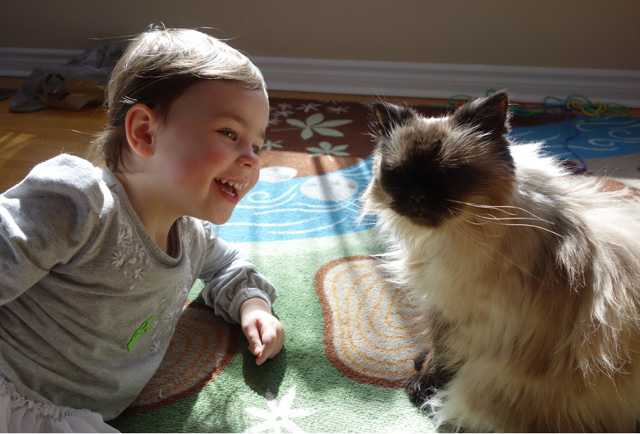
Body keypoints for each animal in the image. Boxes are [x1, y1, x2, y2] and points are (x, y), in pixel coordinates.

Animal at [360, 90, 640, 430]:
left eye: (445, 174)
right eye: (399, 174)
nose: (416, 198)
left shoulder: (461, 315)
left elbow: (442, 354)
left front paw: (423, 383)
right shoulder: (443, 307)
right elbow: (436, 348)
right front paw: (421, 365)